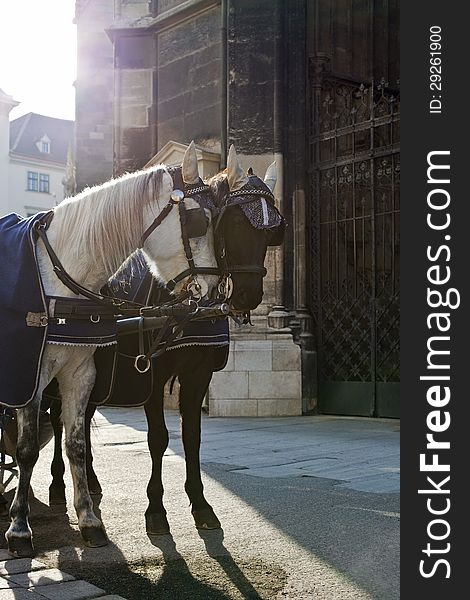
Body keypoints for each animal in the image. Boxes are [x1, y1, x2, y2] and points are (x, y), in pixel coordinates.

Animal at [4, 146, 218, 556]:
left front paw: (89, 520)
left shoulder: (78, 374)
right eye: (200, 219)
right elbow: (26, 450)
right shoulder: (29, 375)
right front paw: (20, 527)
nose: (215, 288)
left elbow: (75, 445)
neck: (59, 278)